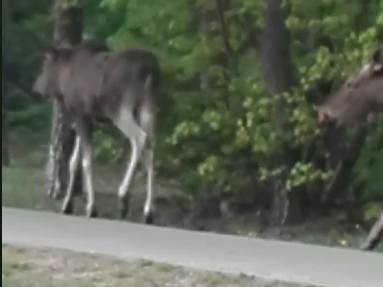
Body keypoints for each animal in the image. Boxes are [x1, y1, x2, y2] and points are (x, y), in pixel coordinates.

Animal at [32, 41, 160, 224]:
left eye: (45, 65)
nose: (36, 87)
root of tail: (150, 69)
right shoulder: (86, 119)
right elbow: (74, 161)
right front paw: (67, 204)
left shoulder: (81, 115)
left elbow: (86, 161)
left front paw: (91, 207)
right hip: (148, 108)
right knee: (150, 147)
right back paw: (149, 210)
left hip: (119, 109)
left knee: (139, 139)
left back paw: (123, 195)